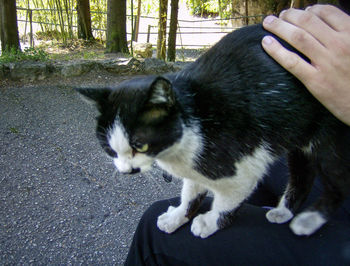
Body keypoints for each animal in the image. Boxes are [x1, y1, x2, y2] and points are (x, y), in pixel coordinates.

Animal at [76, 23, 350, 238]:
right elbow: (191, 190)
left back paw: (309, 221)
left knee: (338, 183)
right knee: (303, 172)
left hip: (329, 135)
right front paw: (178, 215)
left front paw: (210, 222)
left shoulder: (243, 165)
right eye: (109, 148)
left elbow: (228, 199)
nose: (126, 170)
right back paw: (284, 211)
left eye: (140, 144)